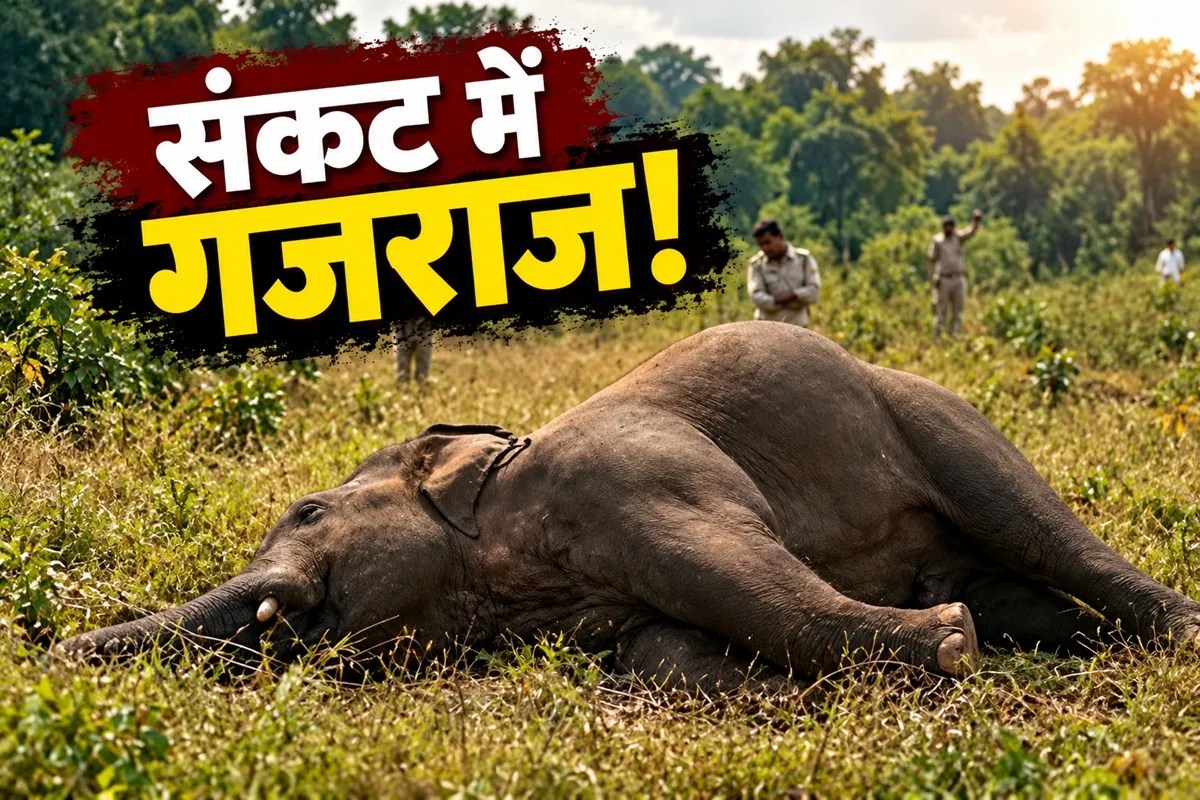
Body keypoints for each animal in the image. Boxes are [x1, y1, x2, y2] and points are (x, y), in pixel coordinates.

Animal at [55, 321, 1200, 692]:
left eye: (302, 511)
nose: (54, 651)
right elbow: (656, 642)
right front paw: (760, 690)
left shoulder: (637, 476)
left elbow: (742, 572)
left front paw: (950, 644)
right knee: (1023, 587)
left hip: (933, 415)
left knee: (1035, 527)